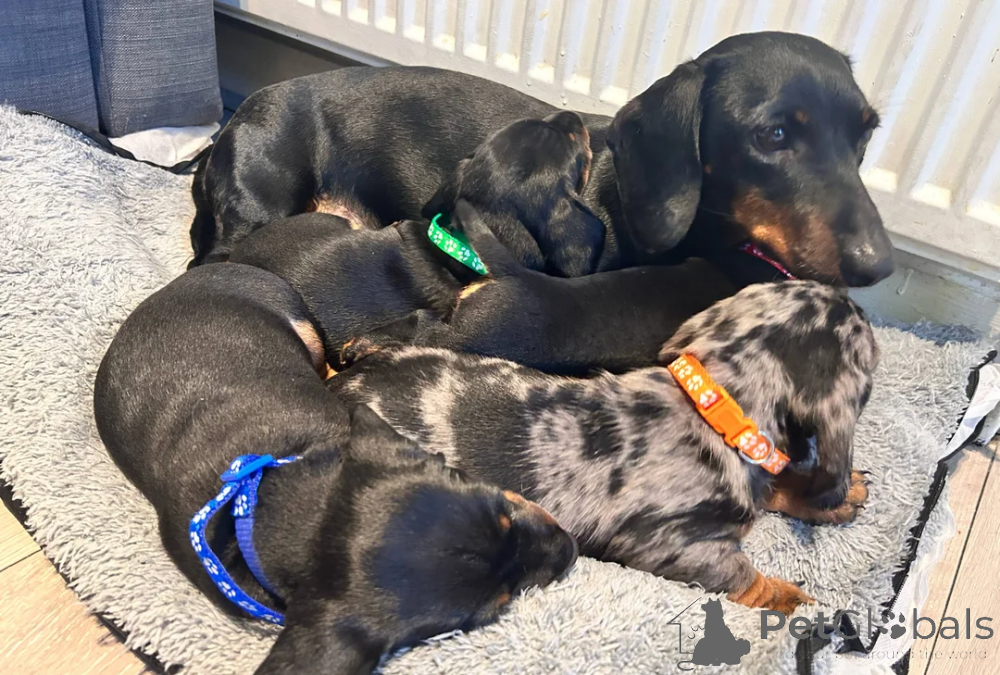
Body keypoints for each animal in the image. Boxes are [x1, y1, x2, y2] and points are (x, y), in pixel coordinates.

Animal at [328, 280, 879, 615]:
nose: (859, 299)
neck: (716, 404)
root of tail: (343, 386)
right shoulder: (675, 547)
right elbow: (745, 576)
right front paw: (797, 605)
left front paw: (833, 497)